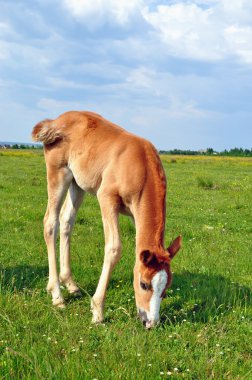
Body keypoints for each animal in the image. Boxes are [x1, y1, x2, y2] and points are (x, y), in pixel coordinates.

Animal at [32, 111, 181, 328]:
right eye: (144, 284)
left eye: (166, 287)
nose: (151, 322)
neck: (140, 167)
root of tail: (56, 121)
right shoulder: (106, 198)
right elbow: (114, 248)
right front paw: (97, 311)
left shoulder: (136, 213)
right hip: (58, 172)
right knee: (50, 222)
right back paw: (57, 296)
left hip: (77, 183)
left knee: (67, 220)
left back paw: (70, 284)